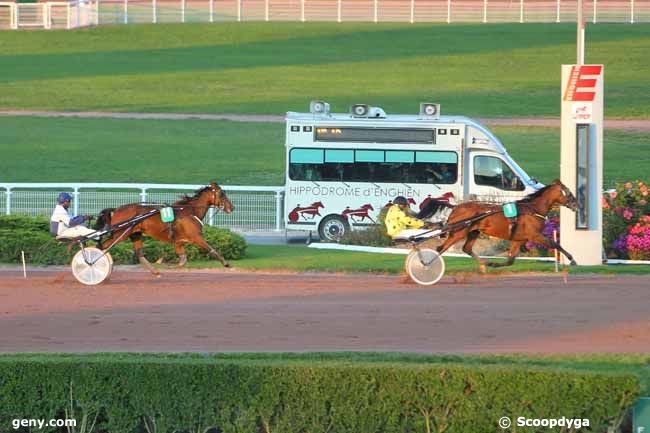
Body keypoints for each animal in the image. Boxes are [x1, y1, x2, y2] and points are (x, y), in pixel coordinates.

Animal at [93, 182, 230, 274]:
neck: (190, 211)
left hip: (135, 234)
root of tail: (116, 210)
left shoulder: (178, 242)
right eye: (222, 194)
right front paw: (226, 263)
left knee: (139, 253)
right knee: (101, 246)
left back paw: (155, 272)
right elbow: (211, 249)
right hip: (120, 234)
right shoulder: (196, 237)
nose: (231, 207)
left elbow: (183, 259)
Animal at [436, 179, 576, 270]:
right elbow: (555, 244)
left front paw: (494, 264)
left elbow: (510, 260)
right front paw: (572, 259)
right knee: (440, 248)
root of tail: (456, 208)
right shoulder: (535, 235)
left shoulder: (518, 239)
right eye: (568, 192)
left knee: (466, 248)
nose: (576, 204)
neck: (533, 209)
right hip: (458, 232)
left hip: (473, 232)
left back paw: (485, 262)